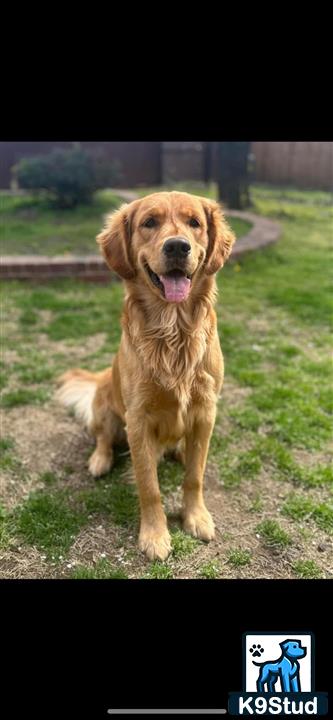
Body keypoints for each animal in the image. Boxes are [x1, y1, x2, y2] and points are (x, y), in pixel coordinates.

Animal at [56, 193, 233, 564]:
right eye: (149, 223)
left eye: (195, 223)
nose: (178, 246)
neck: (174, 329)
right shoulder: (138, 420)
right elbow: (149, 487)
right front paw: (154, 535)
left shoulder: (206, 411)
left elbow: (195, 476)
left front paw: (196, 517)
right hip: (105, 407)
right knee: (102, 437)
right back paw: (100, 460)